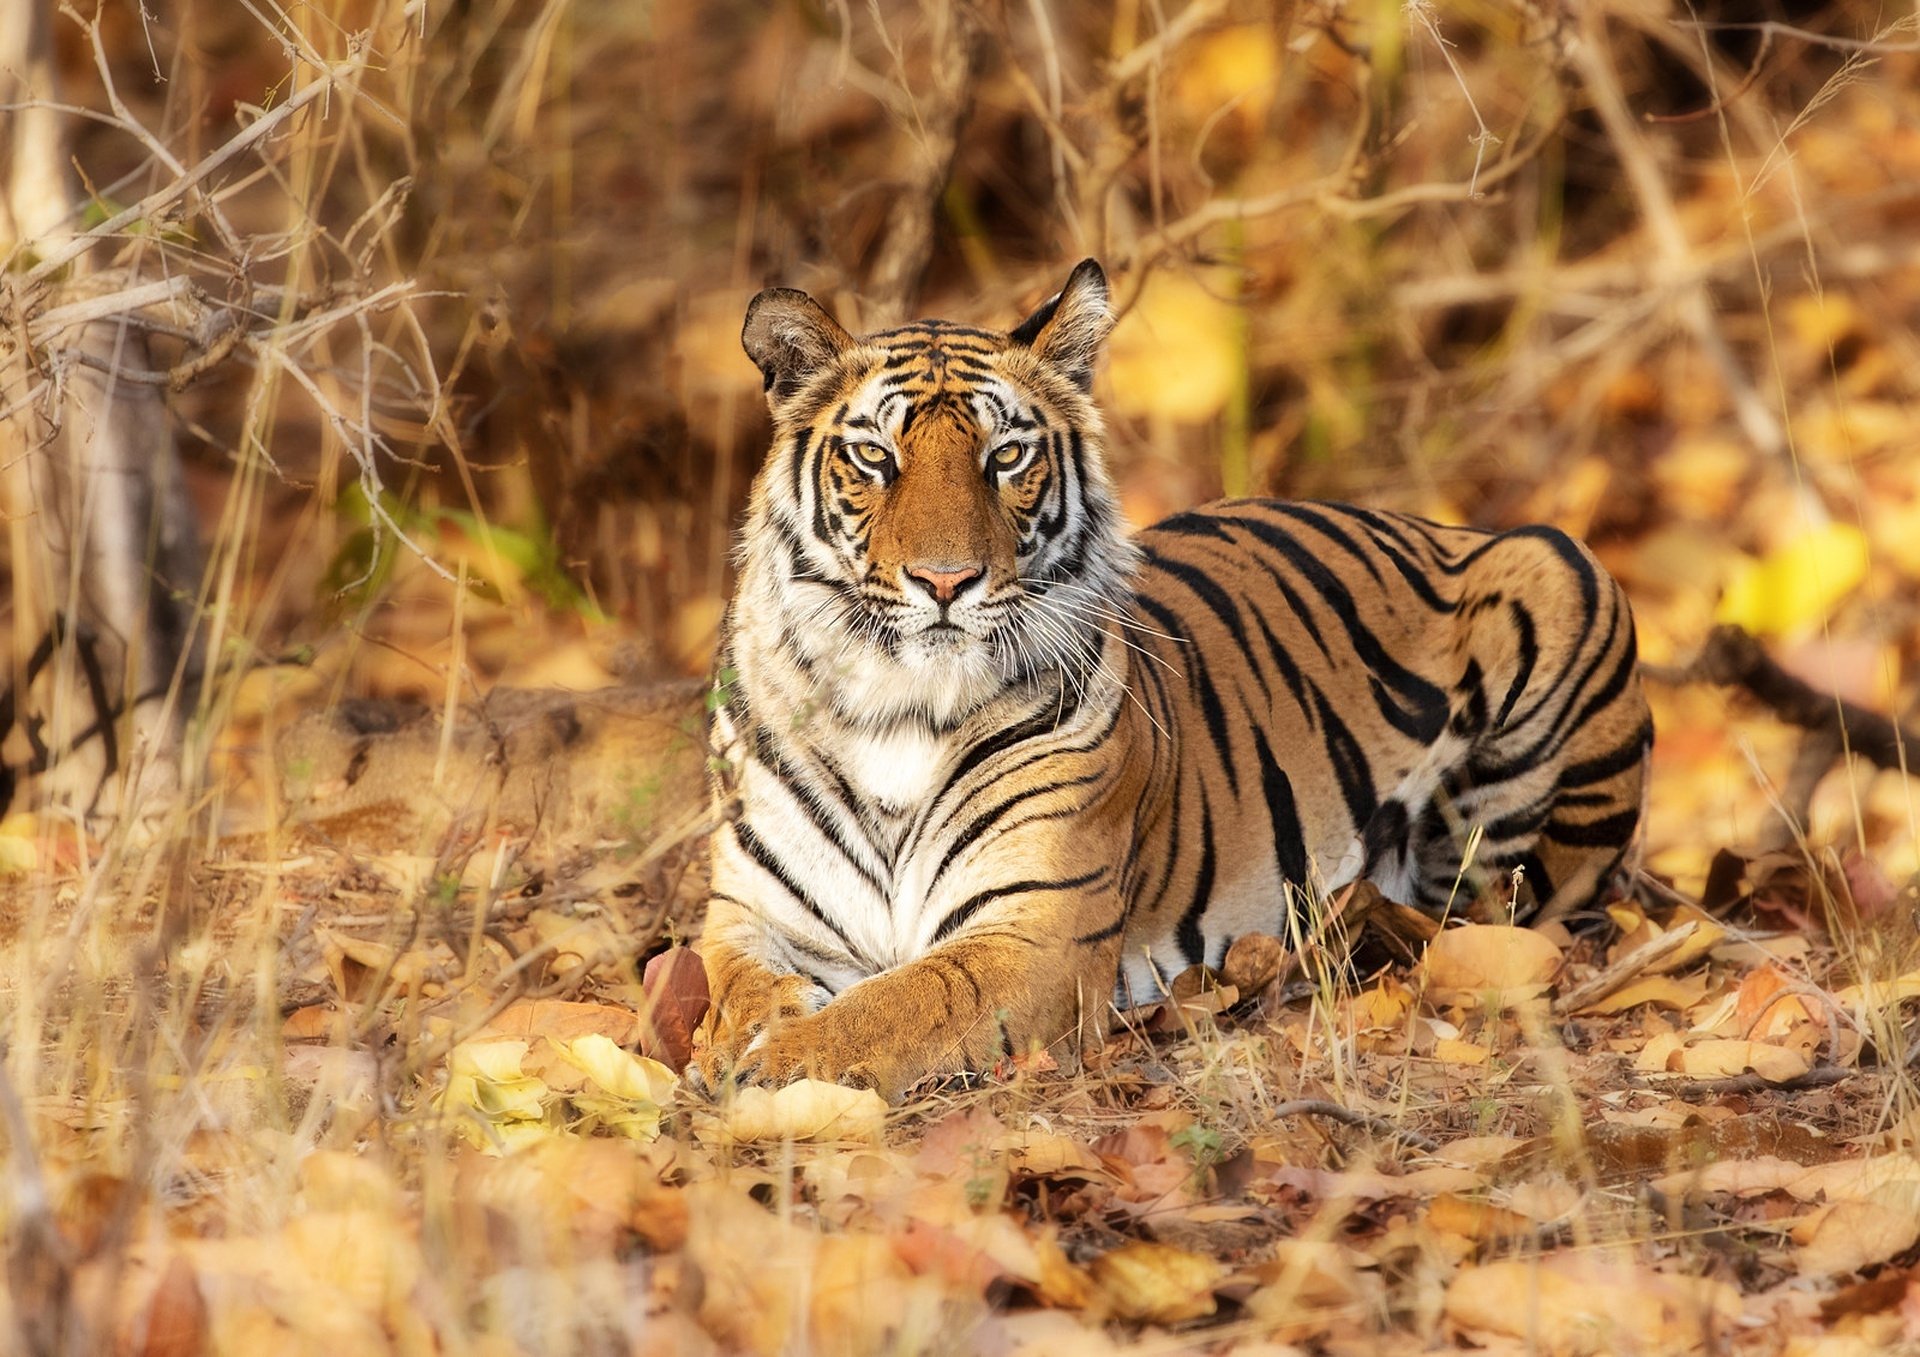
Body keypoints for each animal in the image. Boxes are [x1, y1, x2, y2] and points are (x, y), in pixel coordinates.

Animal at [694, 259, 1652, 1099]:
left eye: (1005, 457)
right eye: (874, 458)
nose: (945, 580)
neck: (895, 707)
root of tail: (1434, 524)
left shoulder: (1034, 930)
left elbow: (898, 1003)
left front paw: (780, 1062)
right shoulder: (750, 912)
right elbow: (726, 984)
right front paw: (735, 1040)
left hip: (1557, 575)